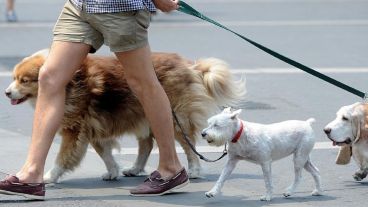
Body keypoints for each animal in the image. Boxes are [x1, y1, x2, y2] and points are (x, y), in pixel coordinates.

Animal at [4, 49, 246, 183]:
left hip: (174, 117)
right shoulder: (93, 126)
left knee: (188, 145)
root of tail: (189, 66)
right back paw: (135, 168)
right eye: (14, 78)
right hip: (145, 114)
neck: (68, 83)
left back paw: (194, 170)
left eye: (24, 80)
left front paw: (48, 177)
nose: (6, 93)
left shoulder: (75, 129)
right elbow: (105, 153)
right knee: (147, 144)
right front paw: (113, 171)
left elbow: (63, 157)